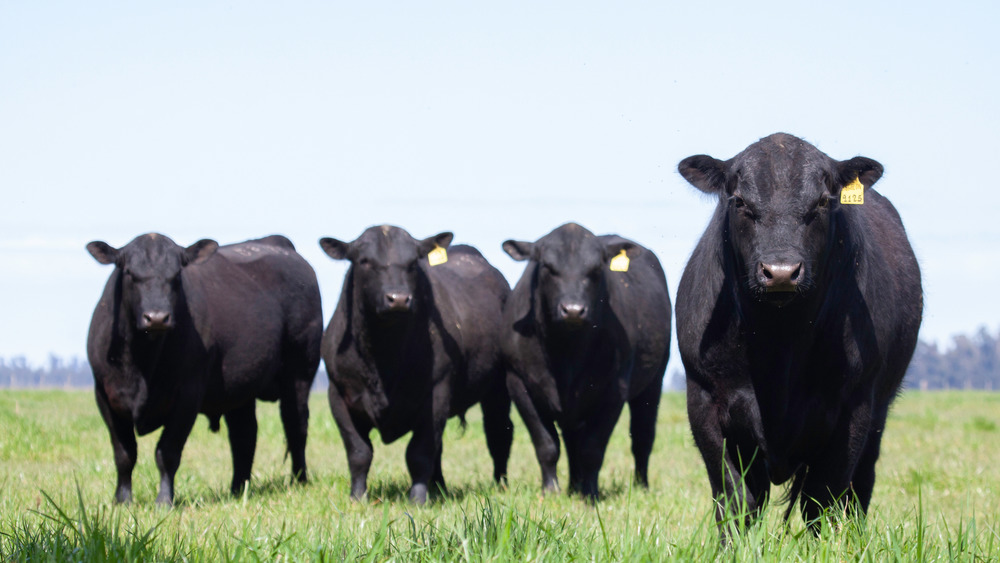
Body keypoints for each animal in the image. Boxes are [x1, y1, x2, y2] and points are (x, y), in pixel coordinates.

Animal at [86, 234, 322, 506]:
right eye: (129, 273)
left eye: (176, 274)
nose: (156, 317)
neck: (141, 364)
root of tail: (277, 242)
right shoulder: (105, 395)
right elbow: (124, 453)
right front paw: (122, 500)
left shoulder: (188, 395)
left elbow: (167, 452)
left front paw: (164, 501)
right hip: (241, 387)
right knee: (244, 435)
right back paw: (237, 488)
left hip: (300, 372)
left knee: (295, 425)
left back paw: (299, 480)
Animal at [320, 227, 512, 504]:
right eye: (364, 260)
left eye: (412, 262)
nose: (398, 298)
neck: (383, 356)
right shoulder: (338, 394)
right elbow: (358, 451)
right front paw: (357, 497)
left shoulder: (436, 394)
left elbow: (419, 453)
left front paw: (418, 499)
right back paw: (439, 487)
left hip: (498, 387)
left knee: (499, 433)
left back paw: (499, 485)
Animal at [500, 223, 672, 500]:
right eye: (547, 266)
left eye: (596, 269)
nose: (573, 310)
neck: (565, 353)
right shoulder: (518, 383)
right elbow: (547, 444)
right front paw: (551, 490)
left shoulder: (614, 389)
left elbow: (592, 448)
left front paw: (590, 494)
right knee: (571, 440)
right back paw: (573, 485)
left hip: (654, 380)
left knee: (643, 437)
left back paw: (640, 486)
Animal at [680, 133, 920, 532]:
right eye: (740, 200)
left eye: (823, 201)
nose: (780, 272)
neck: (779, 340)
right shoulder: (704, 400)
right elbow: (734, 498)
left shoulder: (853, 407)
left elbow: (822, 500)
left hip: (878, 415)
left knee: (860, 487)